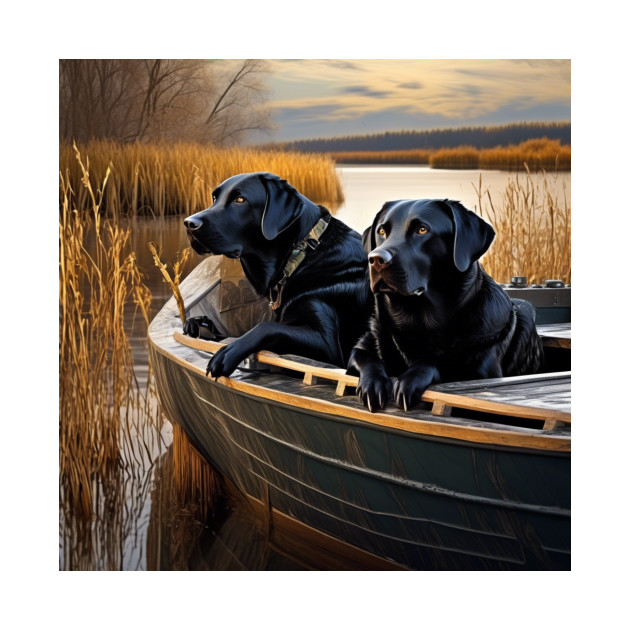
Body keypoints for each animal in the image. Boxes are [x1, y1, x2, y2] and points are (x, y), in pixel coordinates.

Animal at [184, 172, 370, 380]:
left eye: (240, 200)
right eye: (215, 198)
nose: (189, 223)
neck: (302, 254)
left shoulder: (328, 345)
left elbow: (266, 327)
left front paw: (228, 352)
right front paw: (200, 324)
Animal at [348, 199, 544, 414]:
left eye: (422, 230)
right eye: (382, 231)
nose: (376, 259)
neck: (416, 317)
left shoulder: (481, 370)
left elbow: (443, 363)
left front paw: (409, 380)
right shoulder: (365, 344)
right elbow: (363, 356)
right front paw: (373, 385)